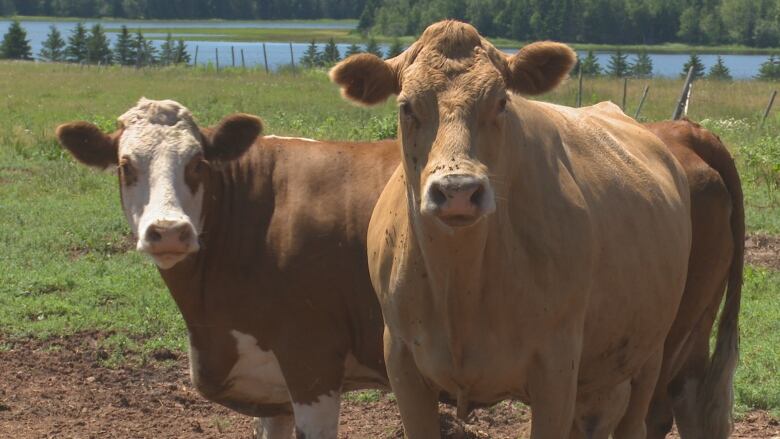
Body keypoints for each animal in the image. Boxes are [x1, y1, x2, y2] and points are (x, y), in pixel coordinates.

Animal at [332, 21, 692, 439]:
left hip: (648, 357)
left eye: (502, 101)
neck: (461, 286)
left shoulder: (556, 370)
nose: (457, 190)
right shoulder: (402, 363)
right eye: (406, 106)